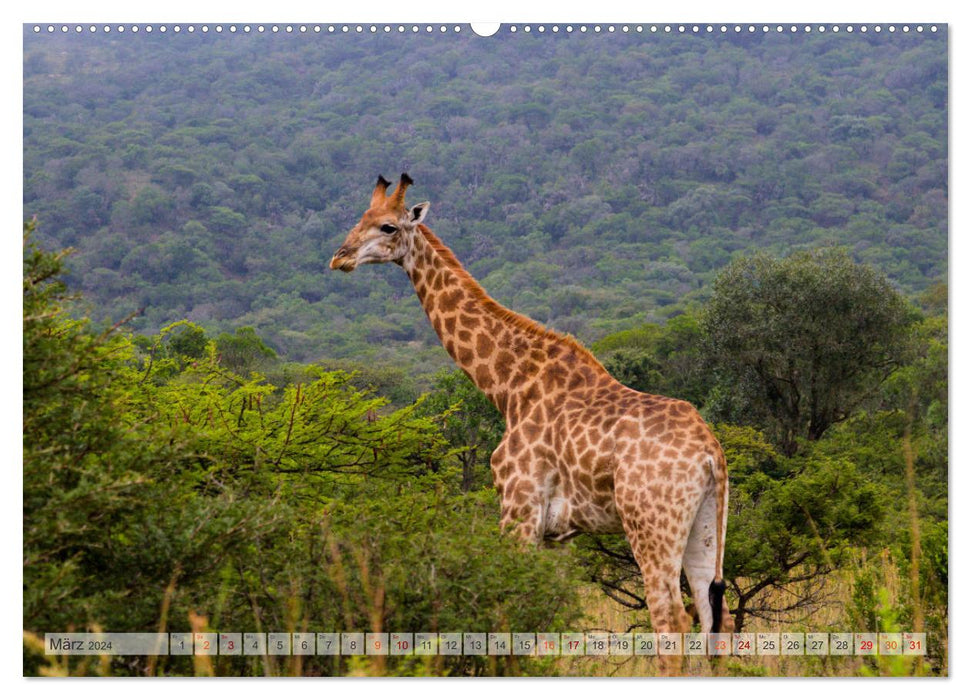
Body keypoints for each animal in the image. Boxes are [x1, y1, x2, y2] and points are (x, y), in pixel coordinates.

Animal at [330, 174, 732, 652]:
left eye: (388, 226)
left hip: (650, 525)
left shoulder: (518, 506)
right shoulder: (560, 533)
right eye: (361, 217)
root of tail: (710, 453)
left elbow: (513, 613)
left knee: (672, 618)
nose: (340, 257)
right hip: (704, 527)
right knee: (715, 620)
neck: (509, 386)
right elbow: (547, 619)